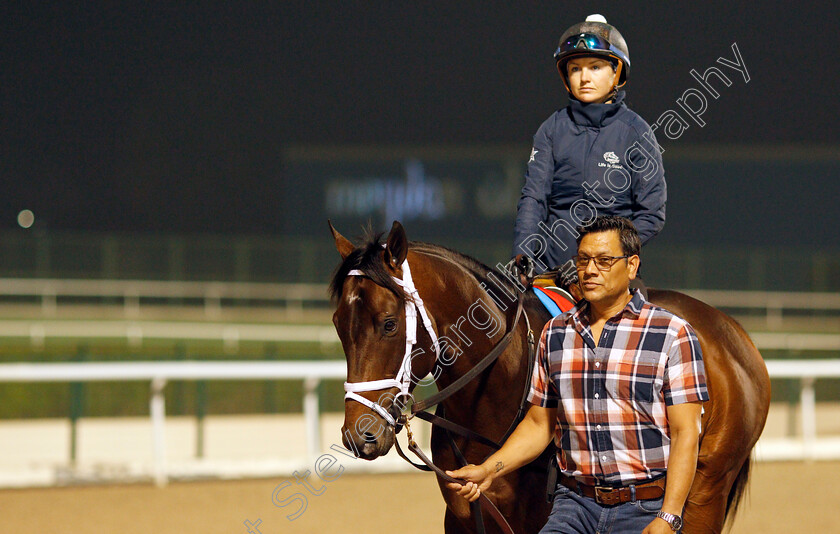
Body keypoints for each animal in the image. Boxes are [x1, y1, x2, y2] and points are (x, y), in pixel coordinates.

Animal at [326, 222, 768, 534]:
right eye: (338, 324)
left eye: (388, 323)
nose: (360, 435)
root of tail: (734, 333)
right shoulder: (466, 517)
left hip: (705, 491)